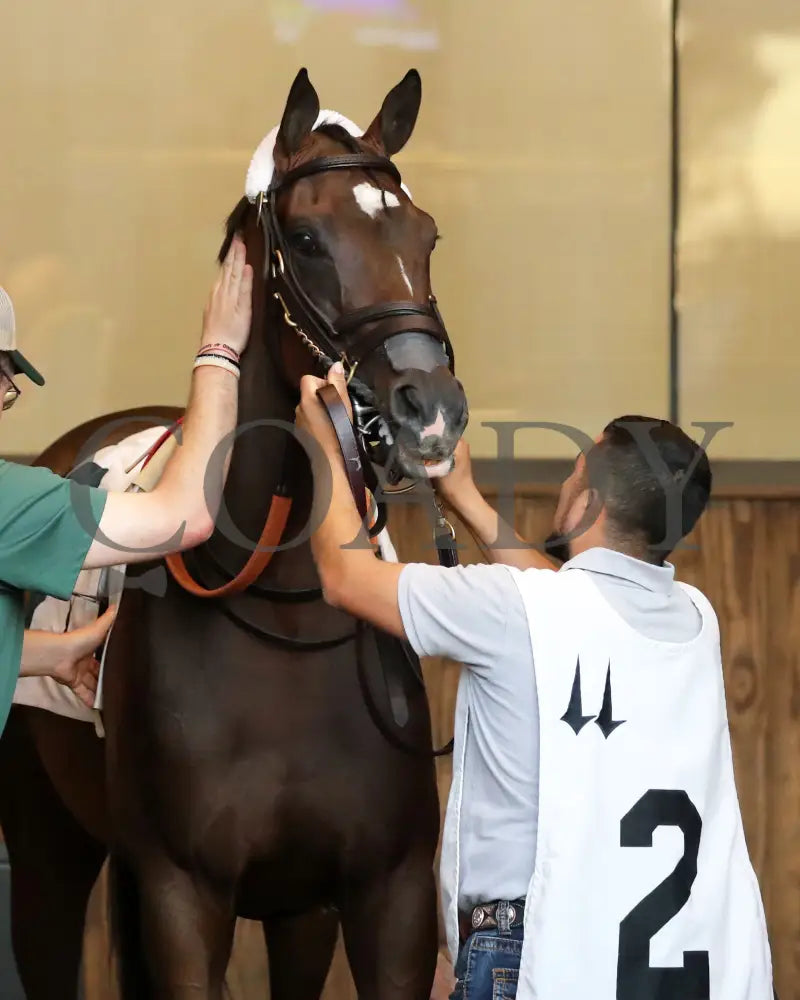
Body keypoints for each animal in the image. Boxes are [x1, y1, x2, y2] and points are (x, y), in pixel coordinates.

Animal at [0, 70, 468, 1000]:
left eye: (425, 233)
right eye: (308, 237)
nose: (429, 411)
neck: (283, 618)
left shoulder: (374, 896)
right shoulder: (184, 896)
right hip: (44, 848)